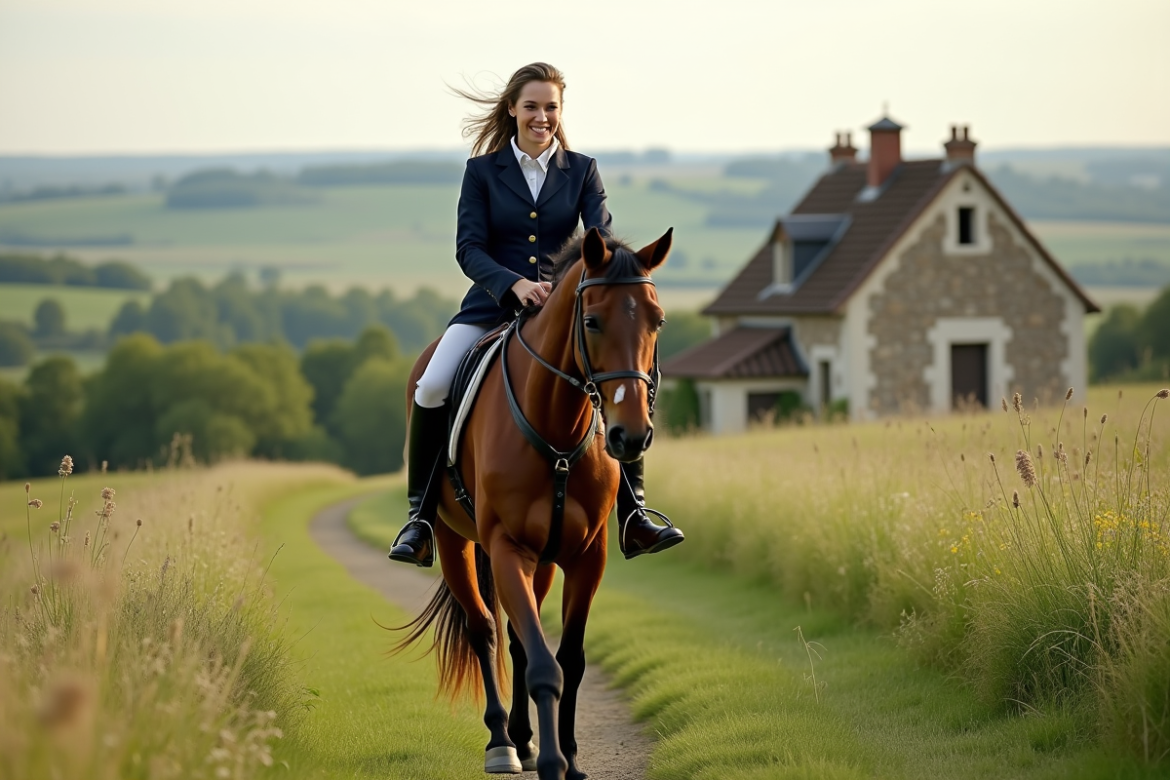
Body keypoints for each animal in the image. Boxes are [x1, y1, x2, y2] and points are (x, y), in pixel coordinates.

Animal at [393, 226, 671, 780]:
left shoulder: (587, 557)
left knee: (519, 637)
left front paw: (570, 758)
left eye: (657, 319)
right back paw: (503, 742)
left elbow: (569, 658)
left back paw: (521, 738)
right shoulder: (506, 548)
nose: (631, 436)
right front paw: (550, 761)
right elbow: (543, 661)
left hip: (541, 561)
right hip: (457, 543)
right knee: (484, 630)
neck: (555, 424)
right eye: (592, 320)